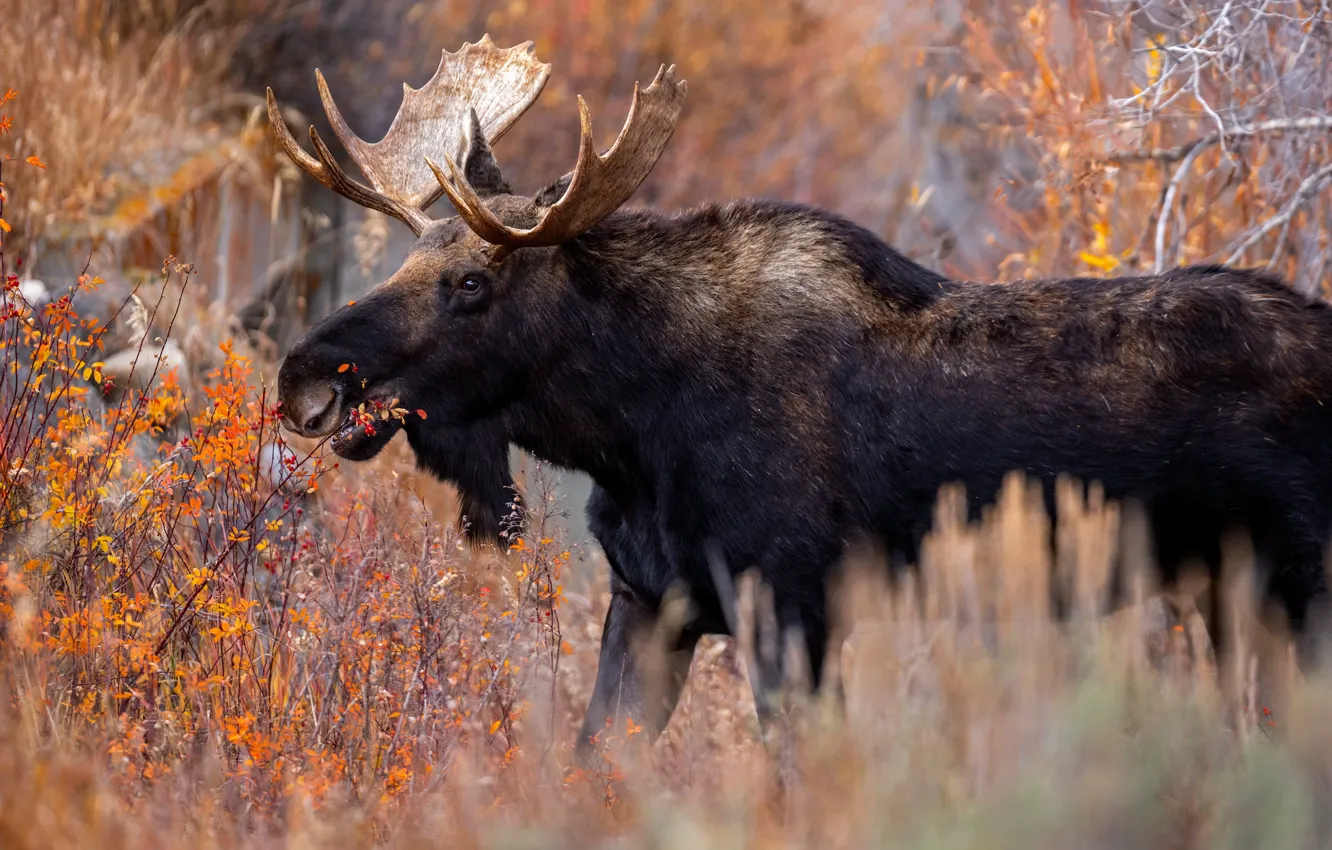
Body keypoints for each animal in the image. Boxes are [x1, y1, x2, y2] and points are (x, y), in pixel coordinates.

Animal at [268, 37, 1332, 756]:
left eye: (471, 283)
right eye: (408, 259)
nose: (304, 376)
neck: (628, 432)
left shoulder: (790, 605)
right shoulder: (647, 599)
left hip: (1299, 587)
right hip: (1230, 596)